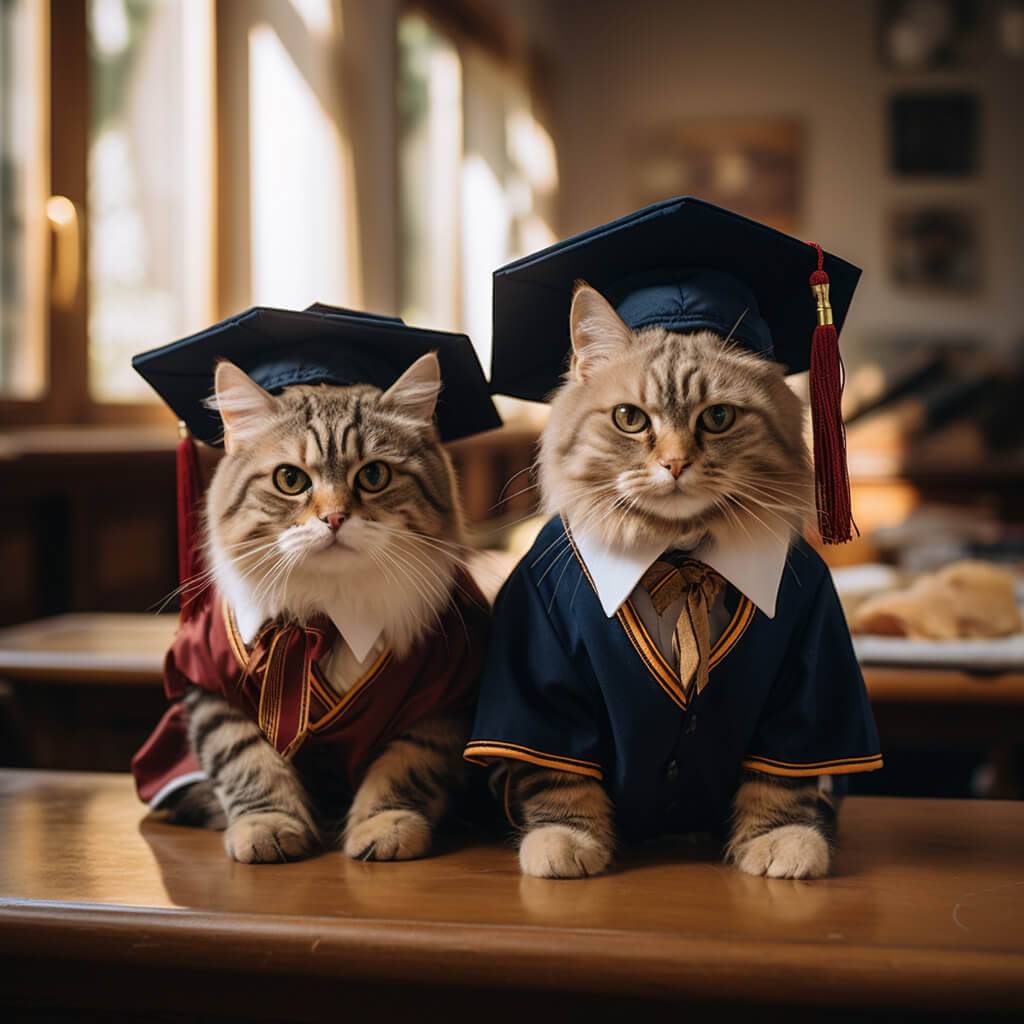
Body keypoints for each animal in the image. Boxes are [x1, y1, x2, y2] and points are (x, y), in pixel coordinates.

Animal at [158, 354, 483, 864]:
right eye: (290, 480)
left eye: (374, 476)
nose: (334, 518)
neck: (327, 619)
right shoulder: (211, 684)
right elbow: (248, 762)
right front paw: (268, 827)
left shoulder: (442, 694)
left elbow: (405, 767)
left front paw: (384, 827)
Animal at [501, 282, 831, 880]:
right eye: (629, 419)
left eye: (718, 417)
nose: (675, 464)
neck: (678, 557)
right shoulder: (544, 670)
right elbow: (562, 778)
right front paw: (565, 842)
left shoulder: (806, 671)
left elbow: (780, 780)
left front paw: (782, 842)